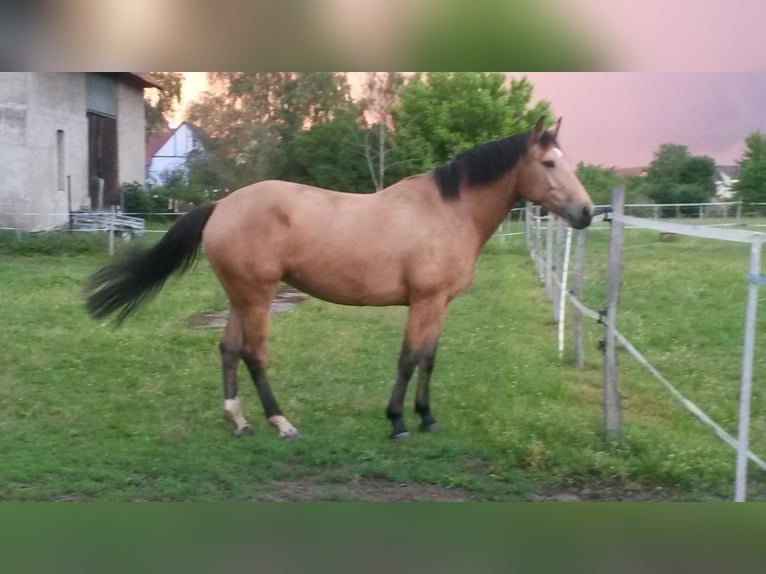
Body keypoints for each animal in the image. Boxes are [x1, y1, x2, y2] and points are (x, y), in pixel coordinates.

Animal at [86, 117, 593, 441]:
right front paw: (398, 422)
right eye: (549, 164)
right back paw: (280, 422)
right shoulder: (425, 301)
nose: (587, 213)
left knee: (229, 350)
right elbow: (408, 360)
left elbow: (428, 359)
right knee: (254, 354)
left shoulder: (439, 305)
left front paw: (427, 417)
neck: (448, 212)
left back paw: (240, 421)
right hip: (257, 296)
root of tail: (221, 205)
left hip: (239, 296)